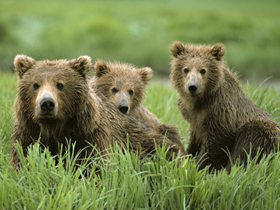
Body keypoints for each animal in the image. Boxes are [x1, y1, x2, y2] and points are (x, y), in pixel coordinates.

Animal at [10, 55, 185, 167]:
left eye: (60, 85)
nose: (47, 103)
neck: (55, 127)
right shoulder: (28, 133)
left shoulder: (90, 135)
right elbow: (22, 158)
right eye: (35, 84)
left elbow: (95, 166)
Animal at [170, 41, 278, 171]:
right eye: (186, 69)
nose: (192, 86)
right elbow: (195, 140)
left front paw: (198, 165)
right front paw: (188, 156)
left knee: (246, 148)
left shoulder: (220, 109)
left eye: (203, 70)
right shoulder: (194, 118)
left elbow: (218, 140)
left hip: (260, 132)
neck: (200, 101)